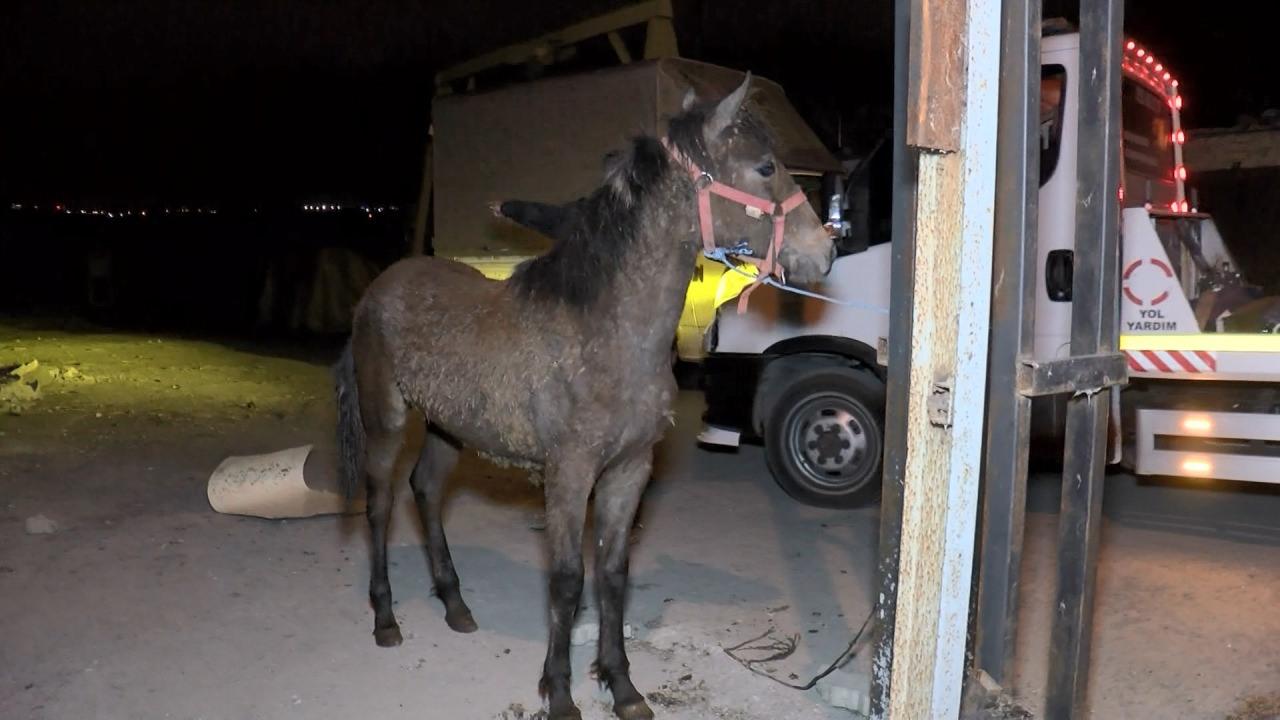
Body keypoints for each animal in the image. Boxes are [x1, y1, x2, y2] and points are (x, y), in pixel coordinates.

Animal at [332, 77, 829, 717]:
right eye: (765, 167)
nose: (823, 252)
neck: (608, 334)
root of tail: (377, 290)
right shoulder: (568, 474)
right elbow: (567, 580)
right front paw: (561, 691)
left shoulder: (628, 471)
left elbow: (613, 574)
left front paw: (622, 686)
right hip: (386, 420)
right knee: (379, 505)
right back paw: (386, 618)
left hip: (449, 427)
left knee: (426, 490)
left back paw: (456, 606)